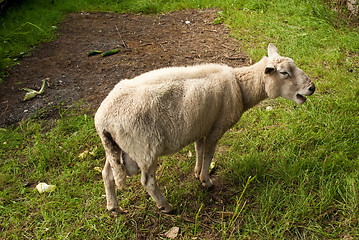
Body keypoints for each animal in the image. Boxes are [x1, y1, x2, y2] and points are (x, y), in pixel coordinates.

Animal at [95, 44, 316, 215]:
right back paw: (166, 206)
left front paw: (196, 172)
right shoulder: (217, 127)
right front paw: (206, 181)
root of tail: (103, 119)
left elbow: (199, 151)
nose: (312, 88)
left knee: (107, 174)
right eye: (284, 72)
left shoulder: (201, 126)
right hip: (144, 148)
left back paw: (113, 207)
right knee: (147, 181)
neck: (241, 86)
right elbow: (209, 154)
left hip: (117, 149)